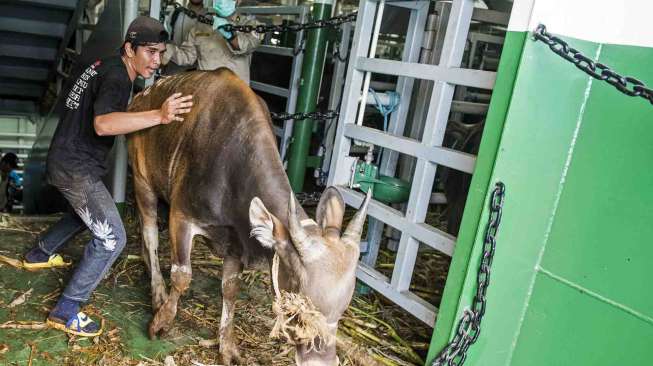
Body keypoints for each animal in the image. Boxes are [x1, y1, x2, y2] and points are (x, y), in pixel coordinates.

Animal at [127, 69, 372, 366]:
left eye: (341, 312)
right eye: (299, 311)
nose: (322, 360)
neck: (230, 166)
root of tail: (142, 97)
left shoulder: (236, 239)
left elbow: (230, 289)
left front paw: (227, 346)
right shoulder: (181, 216)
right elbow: (182, 276)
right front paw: (161, 321)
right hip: (143, 181)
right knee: (150, 232)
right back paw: (157, 290)